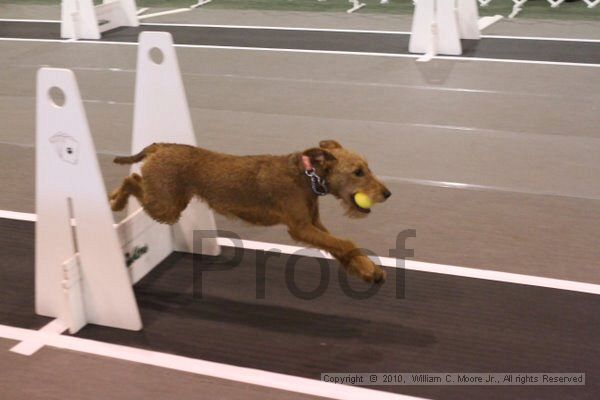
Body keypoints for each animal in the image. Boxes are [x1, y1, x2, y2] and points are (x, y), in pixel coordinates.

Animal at [110, 139, 392, 282]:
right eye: (358, 172)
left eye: (367, 168)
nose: (387, 194)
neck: (306, 176)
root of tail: (159, 146)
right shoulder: (300, 228)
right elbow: (345, 243)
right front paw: (368, 269)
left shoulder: (314, 224)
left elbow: (340, 246)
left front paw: (366, 269)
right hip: (166, 207)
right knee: (131, 180)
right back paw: (115, 201)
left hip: (171, 202)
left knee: (135, 179)